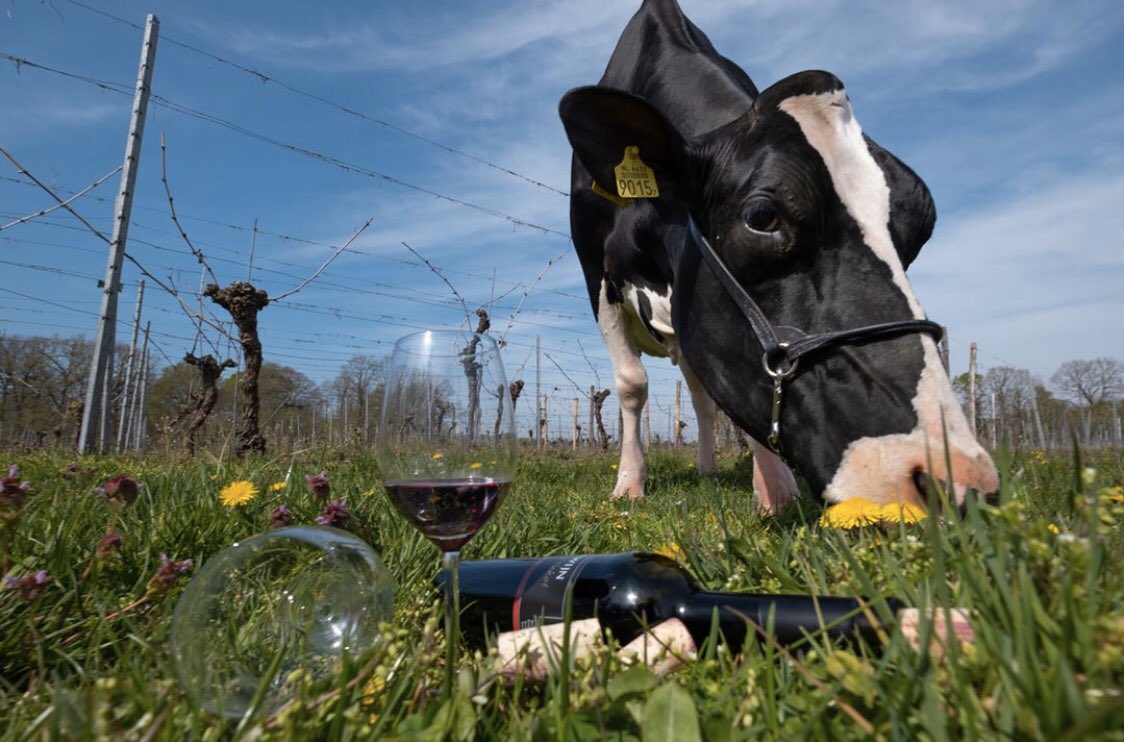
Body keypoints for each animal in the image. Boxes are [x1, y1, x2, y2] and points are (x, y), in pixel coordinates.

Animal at [566, 0, 998, 510]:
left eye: (924, 222)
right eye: (761, 216)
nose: (957, 477)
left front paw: (775, 489)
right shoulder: (597, 271)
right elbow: (632, 384)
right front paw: (630, 484)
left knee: (701, 395)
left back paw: (710, 468)